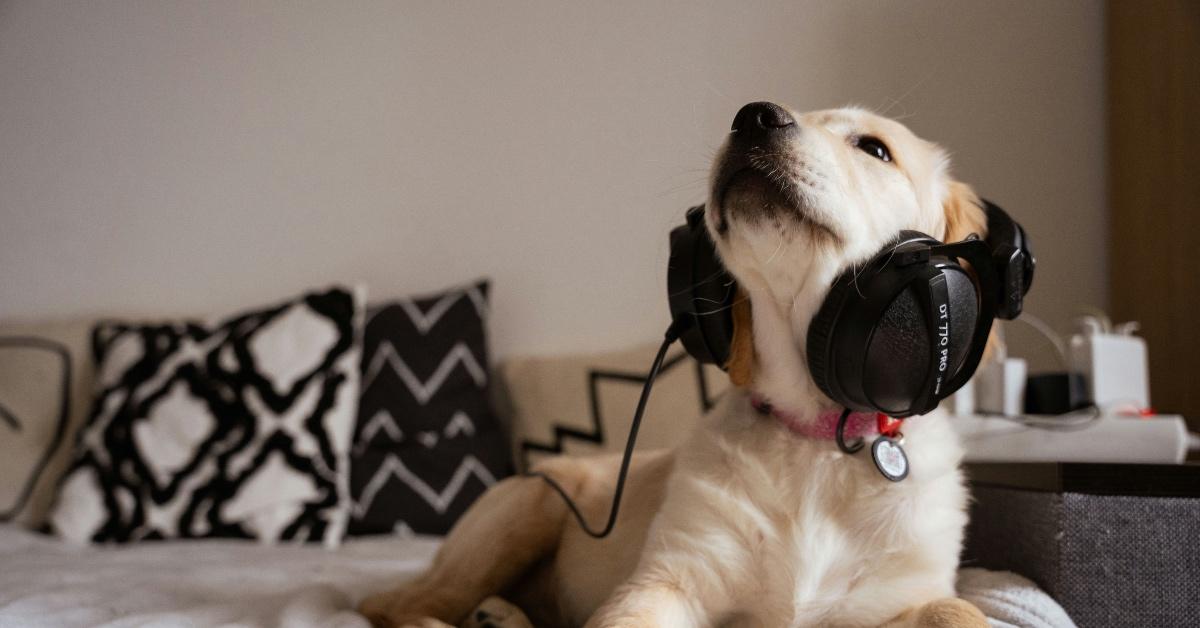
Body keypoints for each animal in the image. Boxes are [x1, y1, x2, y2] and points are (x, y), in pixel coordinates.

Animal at [357, 104, 993, 628]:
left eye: (875, 148)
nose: (754, 116)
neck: (817, 438)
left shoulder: (898, 598)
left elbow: (958, 610)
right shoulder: (670, 579)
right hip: (526, 506)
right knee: (405, 609)